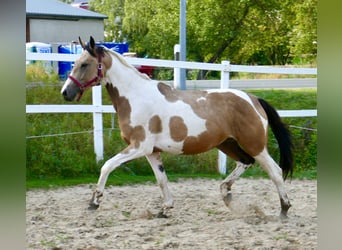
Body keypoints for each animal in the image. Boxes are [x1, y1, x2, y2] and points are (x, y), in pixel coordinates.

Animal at [61, 36, 294, 219]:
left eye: (84, 64)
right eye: (74, 63)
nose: (66, 93)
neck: (135, 96)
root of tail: (254, 99)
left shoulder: (139, 147)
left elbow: (107, 165)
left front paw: (94, 201)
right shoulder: (152, 152)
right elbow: (161, 180)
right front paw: (165, 209)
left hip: (255, 145)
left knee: (275, 171)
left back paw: (284, 209)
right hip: (227, 144)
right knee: (246, 162)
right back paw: (226, 193)